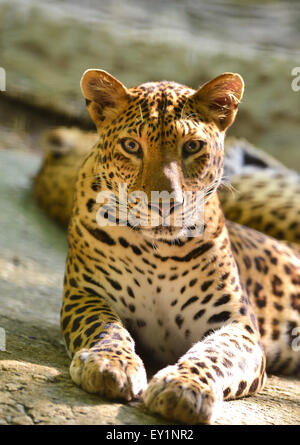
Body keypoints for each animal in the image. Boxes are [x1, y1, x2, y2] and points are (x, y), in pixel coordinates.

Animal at [34, 69, 300, 424]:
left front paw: (185, 388)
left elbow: (215, 355)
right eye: (132, 146)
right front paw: (110, 364)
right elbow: (105, 327)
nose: (164, 204)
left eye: (192, 146)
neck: (157, 251)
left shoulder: (237, 325)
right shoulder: (85, 294)